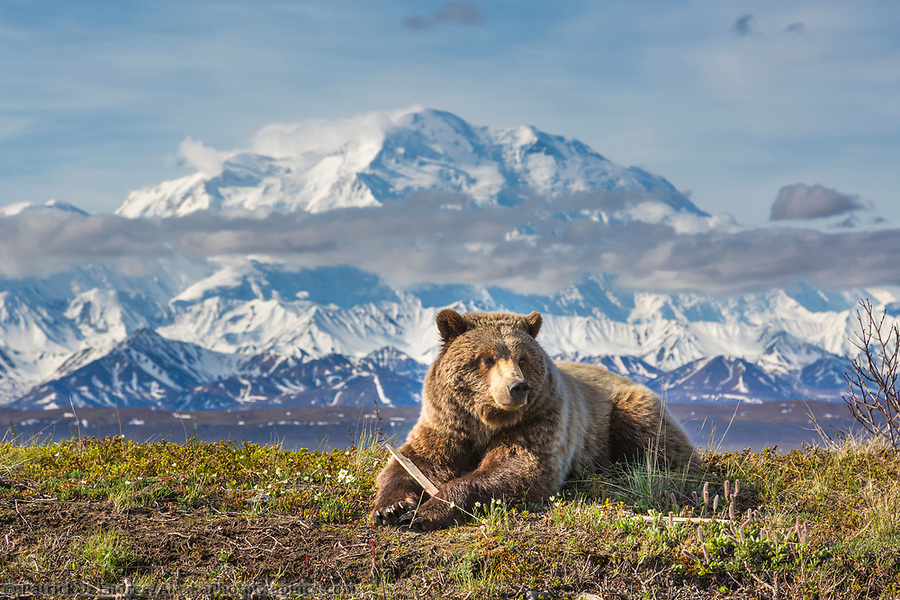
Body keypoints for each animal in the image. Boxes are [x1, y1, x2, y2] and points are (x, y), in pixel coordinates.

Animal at [370, 310, 700, 528]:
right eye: (486, 358)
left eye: (522, 358)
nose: (518, 386)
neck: (486, 422)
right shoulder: (448, 424)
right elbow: (416, 461)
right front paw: (392, 507)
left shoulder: (539, 420)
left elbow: (518, 467)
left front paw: (427, 511)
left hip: (626, 409)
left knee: (655, 443)